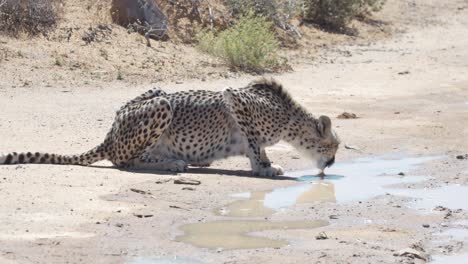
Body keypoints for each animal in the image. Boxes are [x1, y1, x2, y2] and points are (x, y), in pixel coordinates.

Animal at [0, 78, 340, 177]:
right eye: (334, 146)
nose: (334, 161)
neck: (289, 120)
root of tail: (110, 134)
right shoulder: (235, 98)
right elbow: (255, 144)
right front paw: (265, 168)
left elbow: (254, 147)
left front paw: (265, 165)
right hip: (163, 105)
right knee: (125, 160)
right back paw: (172, 162)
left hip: (156, 92)